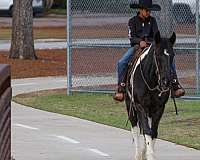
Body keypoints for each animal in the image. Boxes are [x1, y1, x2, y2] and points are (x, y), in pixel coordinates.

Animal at [126, 31, 176, 160]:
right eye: (157, 55)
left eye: (173, 55)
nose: (166, 81)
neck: (151, 80)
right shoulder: (140, 106)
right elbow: (146, 131)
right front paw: (148, 154)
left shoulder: (159, 108)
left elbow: (153, 132)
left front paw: (148, 154)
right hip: (130, 106)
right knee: (135, 129)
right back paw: (138, 154)